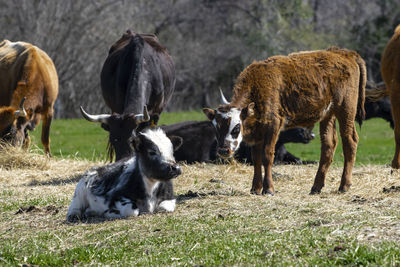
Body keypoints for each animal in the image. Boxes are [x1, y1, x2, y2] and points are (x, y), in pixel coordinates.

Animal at [206, 47, 366, 196]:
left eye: (236, 127)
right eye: (216, 128)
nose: (223, 150)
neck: (258, 86)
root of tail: (344, 53)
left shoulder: (273, 126)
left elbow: (267, 156)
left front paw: (268, 189)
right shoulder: (257, 133)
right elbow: (256, 158)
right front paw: (255, 188)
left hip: (346, 111)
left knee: (350, 142)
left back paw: (344, 185)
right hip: (328, 115)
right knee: (329, 145)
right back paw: (316, 187)